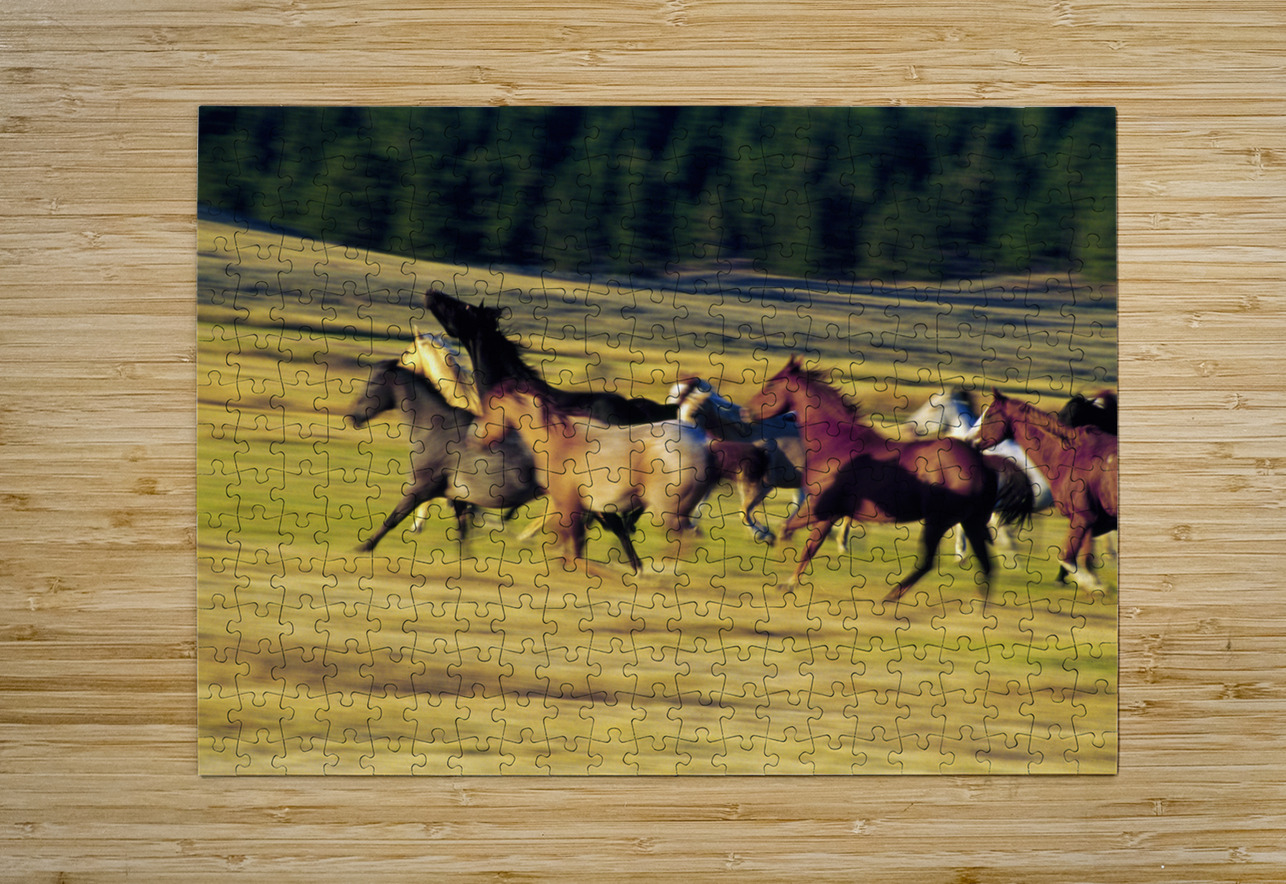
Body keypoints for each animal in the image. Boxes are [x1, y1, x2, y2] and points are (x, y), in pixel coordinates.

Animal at [344, 359, 644, 571]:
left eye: (371, 385)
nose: (352, 417)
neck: (434, 429)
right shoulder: (457, 496)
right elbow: (462, 529)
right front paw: (466, 562)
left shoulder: (421, 488)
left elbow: (393, 518)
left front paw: (363, 547)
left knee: (614, 526)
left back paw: (632, 567)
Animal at [476, 376, 717, 572]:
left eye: (491, 407)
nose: (482, 438)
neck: (559, 442)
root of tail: (702, 444)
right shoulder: (571, 504)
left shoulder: (570, 505)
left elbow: (574, 547)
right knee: (691, 536)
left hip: (667, 510)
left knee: (684, 539)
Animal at [745, 356, 998, 603]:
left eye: (771, 385)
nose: (746, 412)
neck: (835, 444)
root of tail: (981, 462)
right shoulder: (830, 514)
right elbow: (808, 544)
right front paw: (789, 578)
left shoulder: (819, 507)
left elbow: (788, 532)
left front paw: (785, 578)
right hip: (970, 522)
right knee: (986, 565)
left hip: (938, 521)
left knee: (927, 562)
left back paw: (890, 597)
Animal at [969, 389, 1119, 593]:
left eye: (990, 415)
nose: (968, 440)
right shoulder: (1088, 521)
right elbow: (1081, 558)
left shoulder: (1084, 518)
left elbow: (1068, 558)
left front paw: (1092, 584)